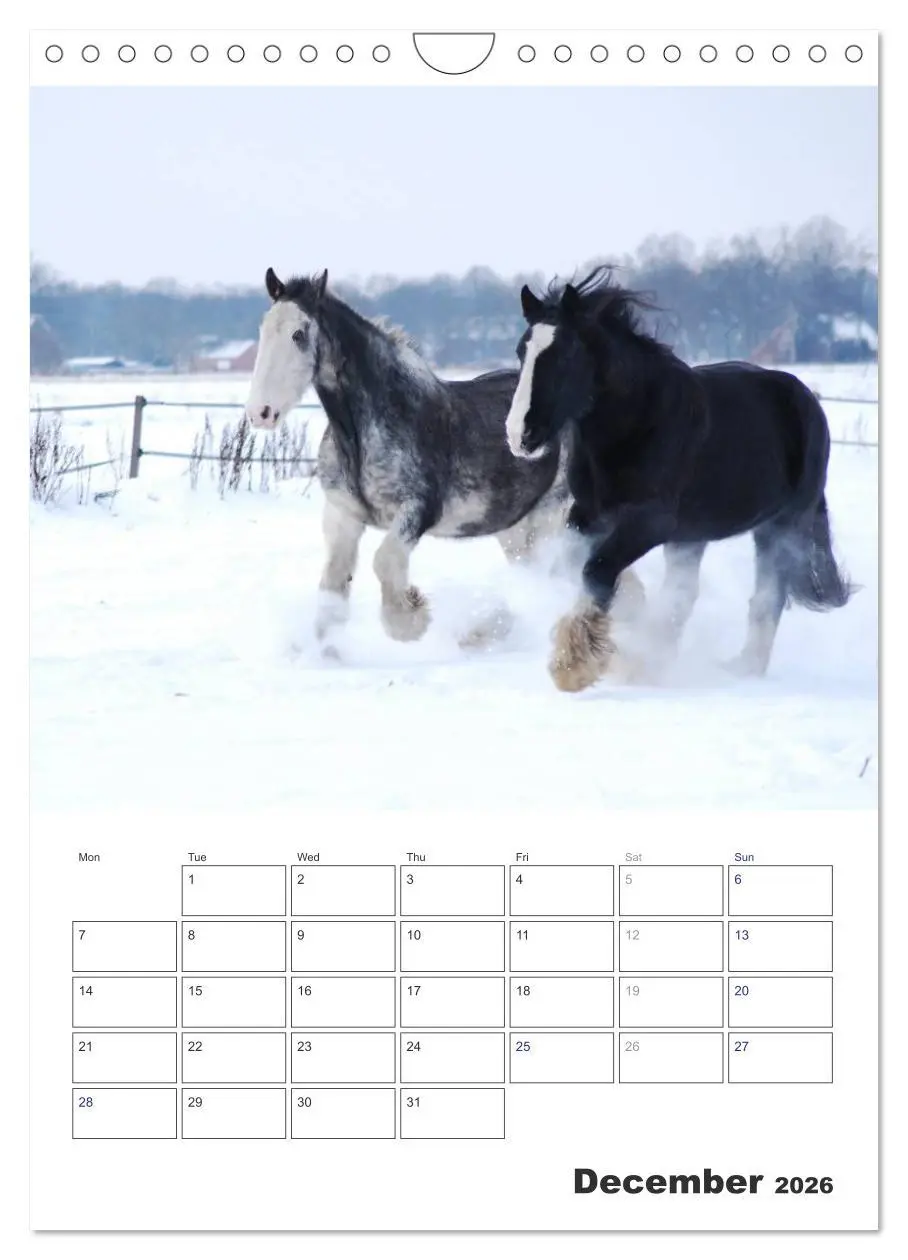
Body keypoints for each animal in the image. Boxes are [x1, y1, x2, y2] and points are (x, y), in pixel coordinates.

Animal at [244, 268, 571, 650]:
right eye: (264, 330)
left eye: (298, 334)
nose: (260, 413)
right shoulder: (343, 515)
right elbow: (333, 584)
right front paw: (324, 652)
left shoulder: (416, 510)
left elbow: (384, 562)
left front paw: (410, 619)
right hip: (514, 528)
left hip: (550, 514)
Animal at [504, 266, 853, 693]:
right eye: (522, 351)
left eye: (566, 354)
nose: (520, 435)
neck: (635, 424)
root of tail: (806, 399)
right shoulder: (588, 513)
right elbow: (574, 563)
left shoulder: (650, 521)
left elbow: (597, 569)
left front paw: (573, 666)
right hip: (693, 536)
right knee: (685, 595)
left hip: (780, 527)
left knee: (766, 598)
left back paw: (742, 668)